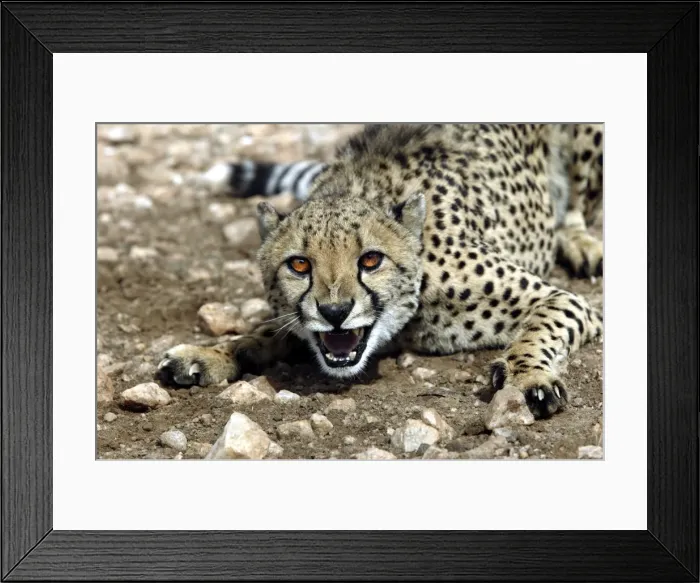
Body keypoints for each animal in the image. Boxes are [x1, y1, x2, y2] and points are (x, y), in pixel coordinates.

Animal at [157, 123, 603, 420]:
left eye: (370, 260)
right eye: (299, 264)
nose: (335, 313)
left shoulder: (563, 298)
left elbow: (540, 328)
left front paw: (527, 378)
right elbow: (269, 330)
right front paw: (212, 353)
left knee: (579, 206)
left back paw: (581, 242)